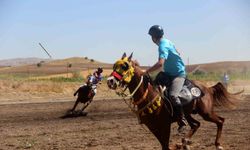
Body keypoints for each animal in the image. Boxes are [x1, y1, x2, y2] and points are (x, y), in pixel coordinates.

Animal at [106, 52, 241, 149]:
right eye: (114, 66)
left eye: (125, 66)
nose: (110, 81)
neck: (149, 95)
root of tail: (208, 88)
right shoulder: (152, 127)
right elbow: (163, 145)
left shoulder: (165, 125)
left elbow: (165, 145)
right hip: (188, 114)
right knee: (196, 125)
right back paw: (184, 142)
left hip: (206, 113)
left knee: (220, 121)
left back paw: (217, 144)